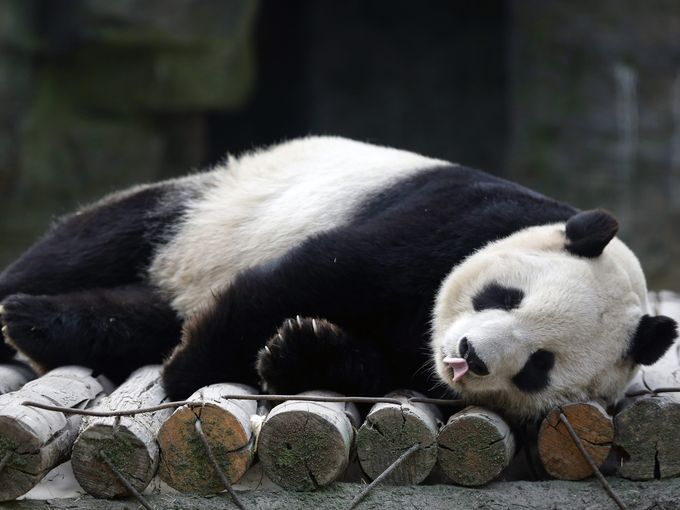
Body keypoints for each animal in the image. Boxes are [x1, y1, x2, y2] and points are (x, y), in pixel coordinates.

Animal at [0, 136, 676, 420]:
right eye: (505, 297)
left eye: (539, 365)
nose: (470, 356)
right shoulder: (453, 219)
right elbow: (308, 277)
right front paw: (189, 372)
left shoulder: (419, 365)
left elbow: (370, 366)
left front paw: (298, 349)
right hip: (205, 209)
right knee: (91, 243)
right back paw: (23, 314)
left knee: (138, 315)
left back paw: (44, 329)